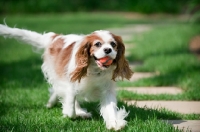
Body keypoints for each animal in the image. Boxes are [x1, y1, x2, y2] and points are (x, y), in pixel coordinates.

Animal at [0, 24, 134, 130]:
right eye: (98, 44)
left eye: (113, 44)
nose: (108, 50)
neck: (95, 69)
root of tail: (55, 37)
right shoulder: (70, 86)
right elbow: (70, 109)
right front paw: (76, 113)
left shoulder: (106, 90)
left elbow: (110, 108)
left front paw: (114, 123)